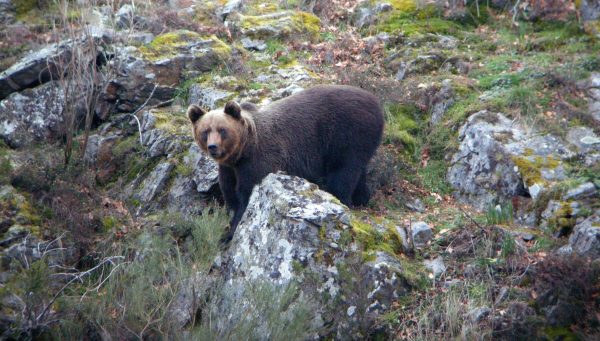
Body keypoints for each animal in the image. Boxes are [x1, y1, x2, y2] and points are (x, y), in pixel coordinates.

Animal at [188, 84, 384, 238]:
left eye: (222, 130)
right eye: (205, 131)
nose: (213, 147)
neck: (243, 151)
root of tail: (376, 102)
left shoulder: (258, 162)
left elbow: (247, 196)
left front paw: (231, 231)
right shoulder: (229, 169)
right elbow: (230, 194)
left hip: (347, 135)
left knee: (343, 173)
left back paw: (343, 199)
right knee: (358, 171)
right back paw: (362, 198)